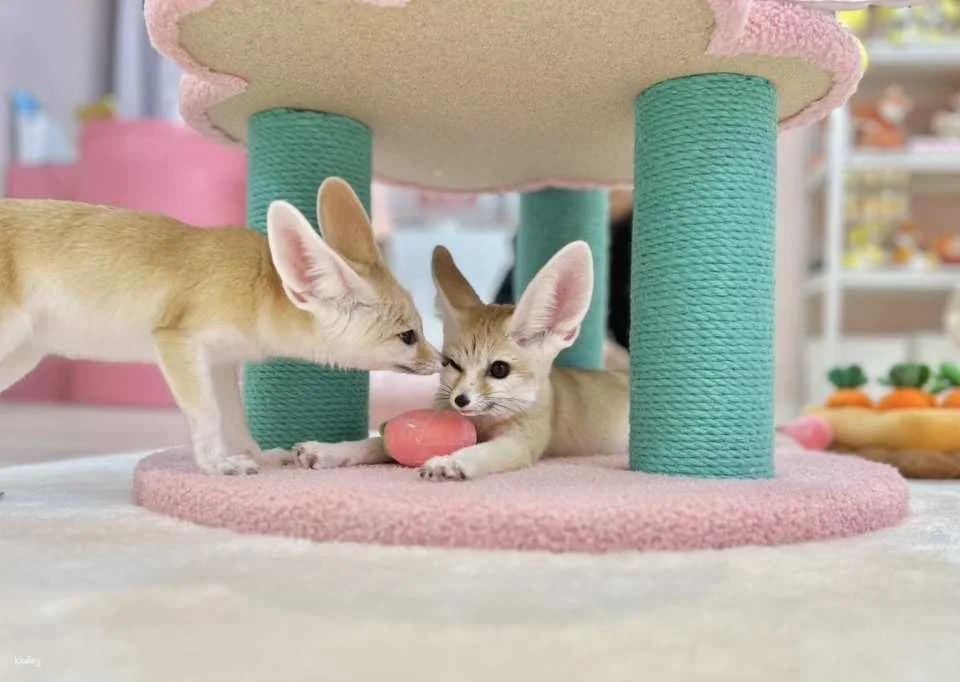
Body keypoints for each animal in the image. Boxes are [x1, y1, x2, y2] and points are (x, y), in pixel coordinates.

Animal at [0, 178, 438, 475]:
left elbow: (236, 419)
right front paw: (216, 464)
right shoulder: (178, 341)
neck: (259, 285)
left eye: (420, 330)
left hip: (18, 360)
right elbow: (208, 415)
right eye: (408, 336)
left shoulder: (220, 362)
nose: (440, 361)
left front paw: (258, 455)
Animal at [292, 240, 629, 481]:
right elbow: (375, 442)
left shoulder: (520, 445)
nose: (460, 401)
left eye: (499, 369)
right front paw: (331, 451)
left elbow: (482, 452)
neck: (483, 423)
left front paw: (451, 461)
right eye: (450, 364)